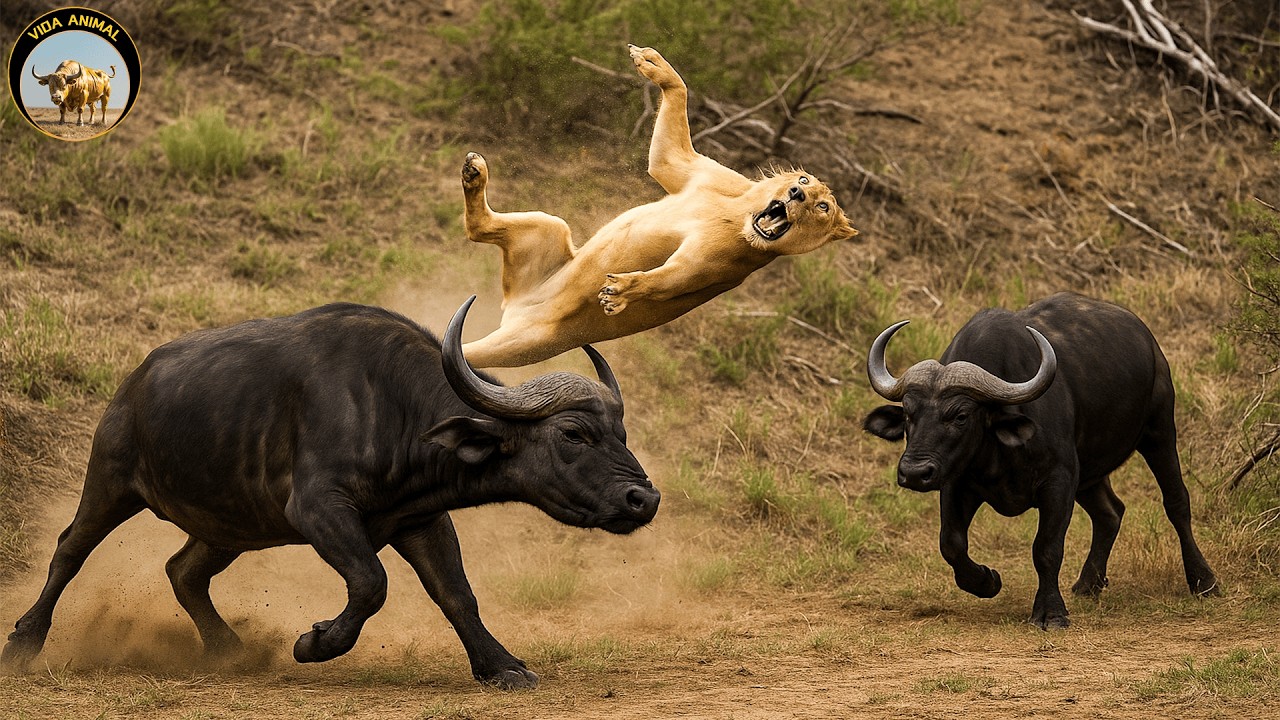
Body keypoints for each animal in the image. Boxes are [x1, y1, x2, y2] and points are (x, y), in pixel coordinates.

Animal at [2, 298, 659, 688]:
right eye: (573, 433)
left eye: (621, 433)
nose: (644, 500)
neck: (396, 407)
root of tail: (134, 382)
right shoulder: (319, 510)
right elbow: (372, 582)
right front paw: (315, 643)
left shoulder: (419, 519)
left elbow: (456, 595)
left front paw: (501, 666)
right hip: (111, 481)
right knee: (69, 549)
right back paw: (23, 642)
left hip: (231, 525)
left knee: (182, 570)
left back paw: (228, 648)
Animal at [862, 292, 1218, 629]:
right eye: (909, 415)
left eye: (961, 415)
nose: (913, 472)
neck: (996, 453)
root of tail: (1148, 340)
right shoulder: (955, 481)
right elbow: (951, 543)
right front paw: (987, 581)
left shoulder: (1059, 480)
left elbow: (1046, 548)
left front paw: (1050, 612)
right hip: (1089, 473)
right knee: (1110, 512)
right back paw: (1088, 583)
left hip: (1160, 431)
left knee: (1176, 502)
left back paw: (1203, 580)